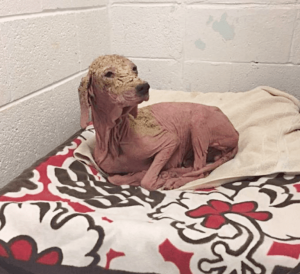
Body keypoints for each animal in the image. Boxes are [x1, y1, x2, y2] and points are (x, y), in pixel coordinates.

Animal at [78, 54, 239, 189]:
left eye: (134, 68)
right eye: (108, 74)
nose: (144, 86)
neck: (115, 137)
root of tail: (236, 132)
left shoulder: (171, 141)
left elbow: (146, 180)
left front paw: (148, 175)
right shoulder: (106, 169)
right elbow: (114, 179)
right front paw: (139, 175)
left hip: (199, 122)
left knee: (200, 171)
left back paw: (172, 178)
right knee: (193, 166)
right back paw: (171, 173)